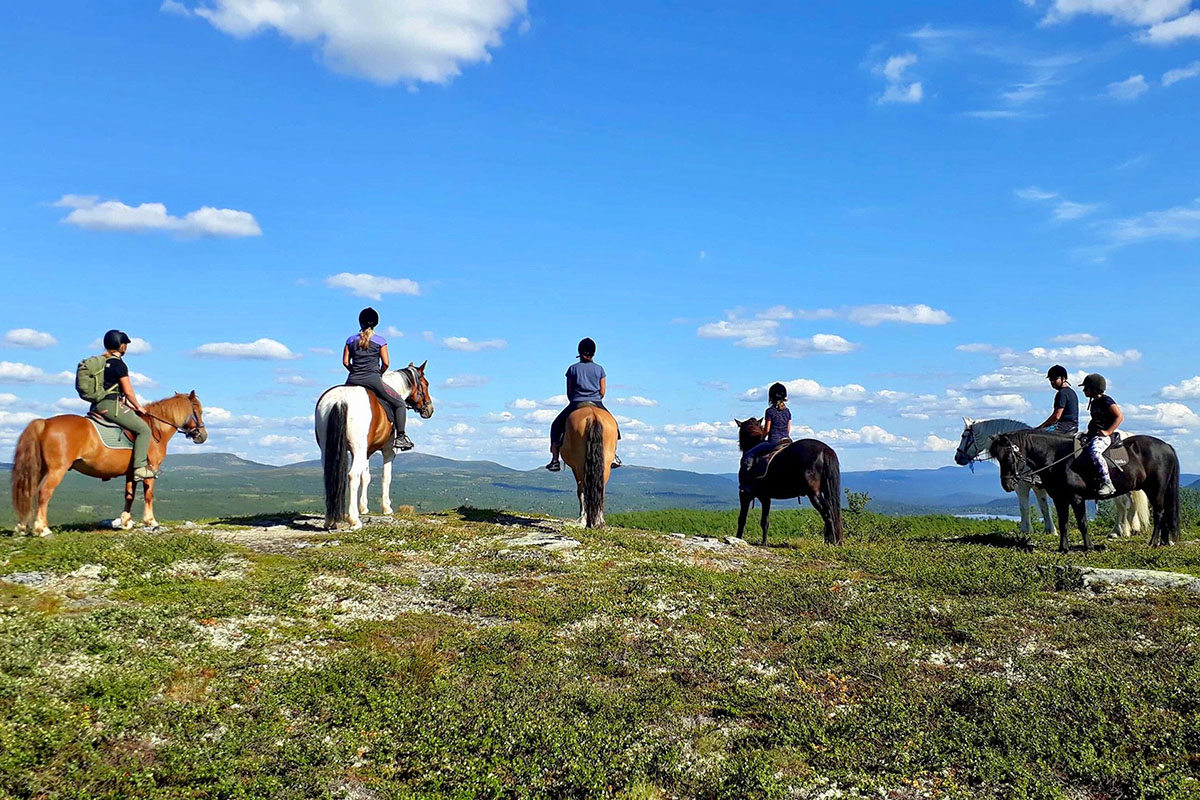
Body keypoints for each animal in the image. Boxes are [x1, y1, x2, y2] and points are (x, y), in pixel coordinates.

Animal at [11, 391, 208, 534]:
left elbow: (129, 495)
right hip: (56, 470)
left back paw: (23, 526)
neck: (155, 429)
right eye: (198, 411)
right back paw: (42, 529)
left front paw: (126, 522)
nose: (203, 436)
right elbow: (148, 494)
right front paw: (151, 521)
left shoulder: (131, 472)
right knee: (44, 492)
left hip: (39, 469)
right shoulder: (150, 468)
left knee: (29, 492)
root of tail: (44, 423)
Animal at [955, 419, 1152, 537]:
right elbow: (1044, 508)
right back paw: (1131, 528)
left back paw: (1119, 530)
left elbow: (1024, 507)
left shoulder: (1023, 486)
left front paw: (1026, 530)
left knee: (1122, 504)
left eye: (964, 436)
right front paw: (1051, 530)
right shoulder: (1039, 487)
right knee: (1130, 503)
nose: (957, 458)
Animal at [984, 429, 1180, 554]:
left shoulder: (1076, 498)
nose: (1007, 485)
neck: (1057, 457)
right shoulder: (1060, 498)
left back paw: (1152, 542)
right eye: (997, 458)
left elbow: (1082, 523)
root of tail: (1167, 446)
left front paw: (1088, 547)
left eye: (1008, 456)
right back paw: (1163, 541)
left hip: (1156, 489)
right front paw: (1063, 548)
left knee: (1159, 513)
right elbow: (1063, 523)